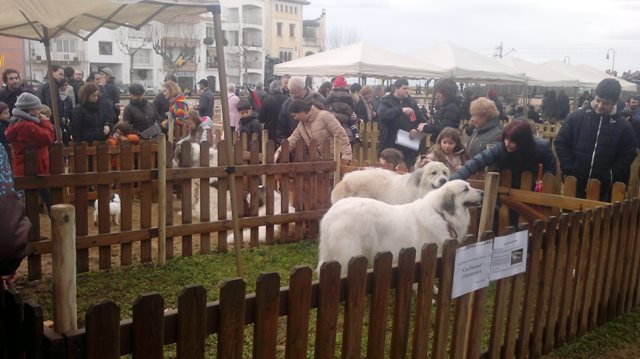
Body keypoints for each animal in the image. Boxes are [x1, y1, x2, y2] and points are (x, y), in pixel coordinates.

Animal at [318, 181, 482, 274]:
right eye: (466, 189)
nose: (482, 192)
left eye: (470, 185)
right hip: (348, 255)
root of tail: (331, 214)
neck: (440, 213)